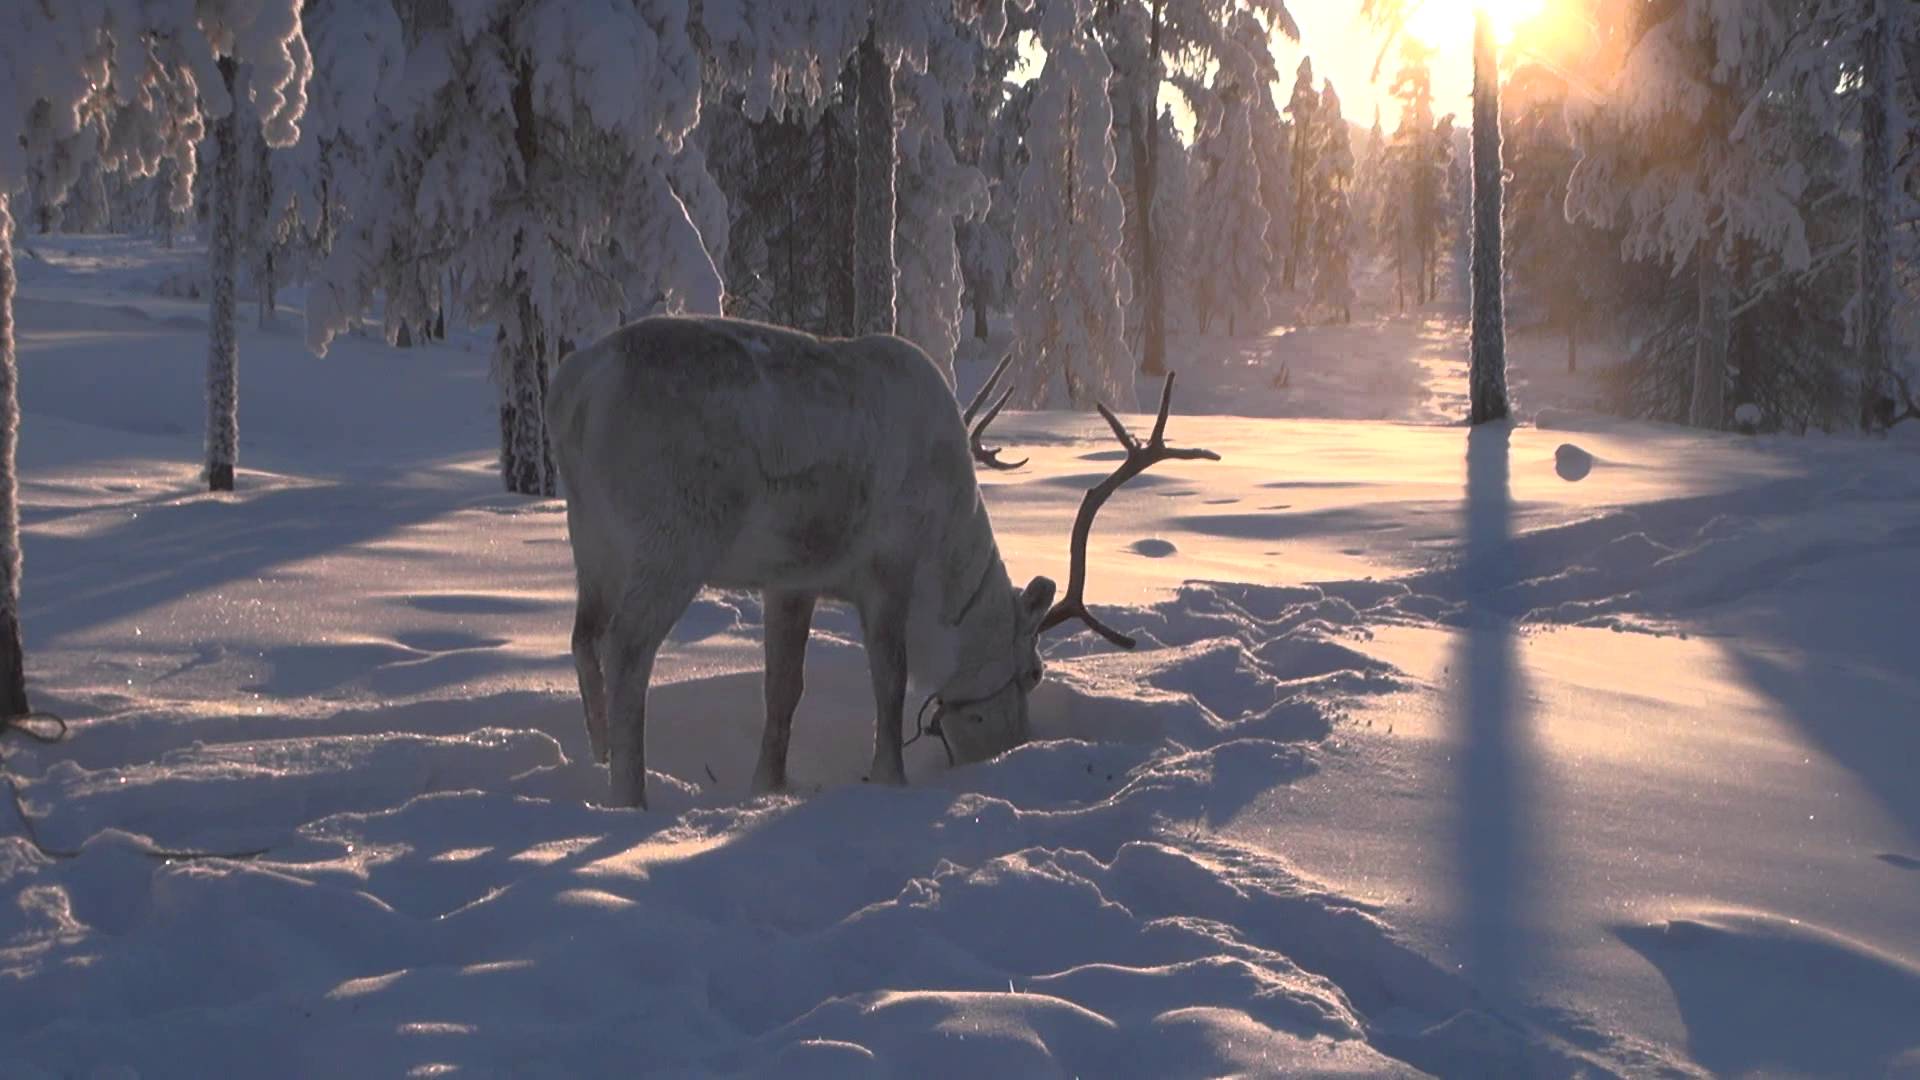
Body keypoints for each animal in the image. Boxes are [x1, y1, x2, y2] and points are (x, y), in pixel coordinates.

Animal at [545, 315, 1217, 808]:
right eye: (1033, 672)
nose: (1007, 751)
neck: (946, 578)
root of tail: (576, 390)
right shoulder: (888, 569)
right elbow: (889, 680)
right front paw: (889, 774)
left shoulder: (792, 579)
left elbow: (783, 689)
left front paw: (771, 785)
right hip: (671, 542)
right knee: (627, 648)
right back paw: (630, 795)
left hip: (591, 539)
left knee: (583, 638)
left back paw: (598, 760)